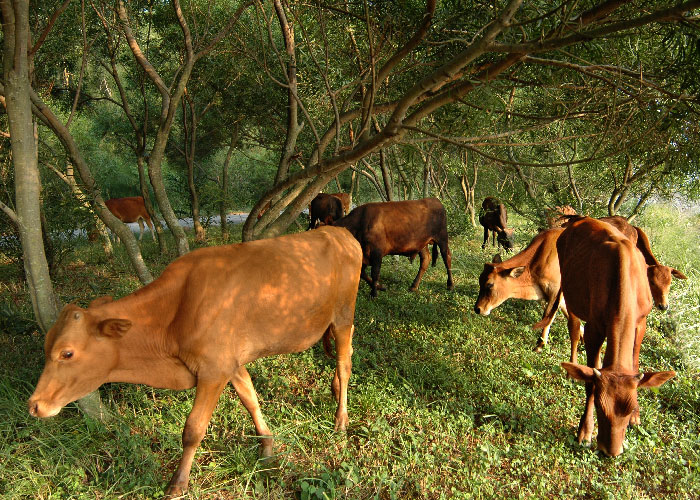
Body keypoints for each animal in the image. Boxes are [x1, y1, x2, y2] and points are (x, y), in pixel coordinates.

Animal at [27, 227, 364, 496]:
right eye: (45, 346)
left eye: (67, 353)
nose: (35, 405)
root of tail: (339, 231)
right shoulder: (229, 362)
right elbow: (250, 399)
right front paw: (267, 447)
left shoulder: (213, 370)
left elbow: (193, 429)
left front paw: (178, 483)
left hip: (343, 314)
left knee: (345, 365)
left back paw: (341, 419)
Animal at [474, 229, 584, 362]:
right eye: (480, 280)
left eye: (490, 284)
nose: (477, 309)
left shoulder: (555, 291)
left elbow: (548, 316)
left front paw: (540, 345)